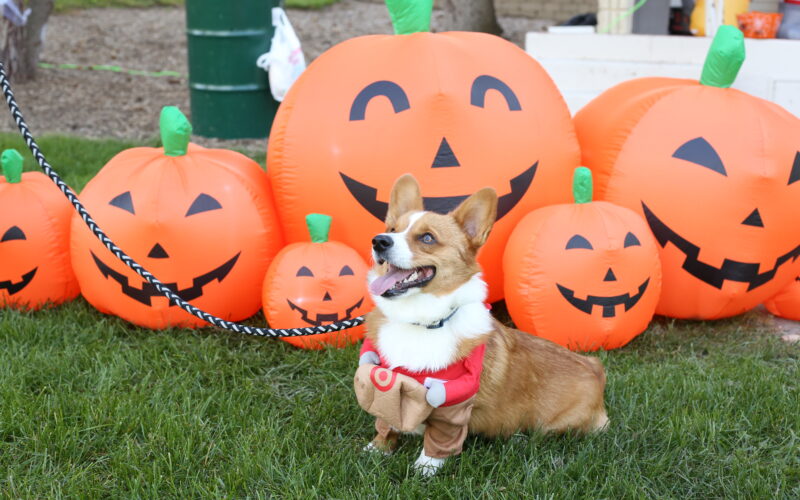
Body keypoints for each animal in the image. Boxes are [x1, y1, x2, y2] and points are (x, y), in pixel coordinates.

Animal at [360, 175, 608, 476]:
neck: (421, 322)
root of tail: (595, 368)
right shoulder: (385, 383)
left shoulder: (451, 402)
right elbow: (386, 422)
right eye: (392, 229)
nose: (378, 241)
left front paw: (425, 468)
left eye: (427, 237)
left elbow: (439, 440)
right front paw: (377, 448)